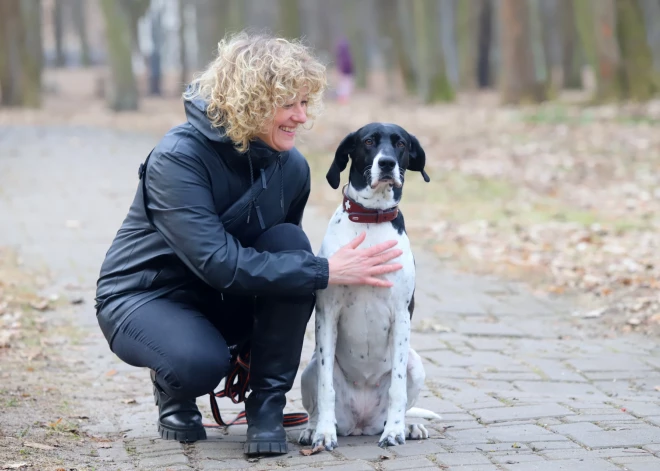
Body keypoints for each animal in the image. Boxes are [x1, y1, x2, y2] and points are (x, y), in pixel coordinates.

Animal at [300, 121, 438, 450]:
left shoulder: (401, 315)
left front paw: (396, 432)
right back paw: (313, 429)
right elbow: (326, 387)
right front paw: (324, 433)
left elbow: (397, 389)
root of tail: (360, 425)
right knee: (316, 403)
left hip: (416, 363)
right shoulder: (327, 314)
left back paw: (407, 427)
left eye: (400, 143)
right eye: (368, 142)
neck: (371, 219)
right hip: (309, 368)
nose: (386, 163)